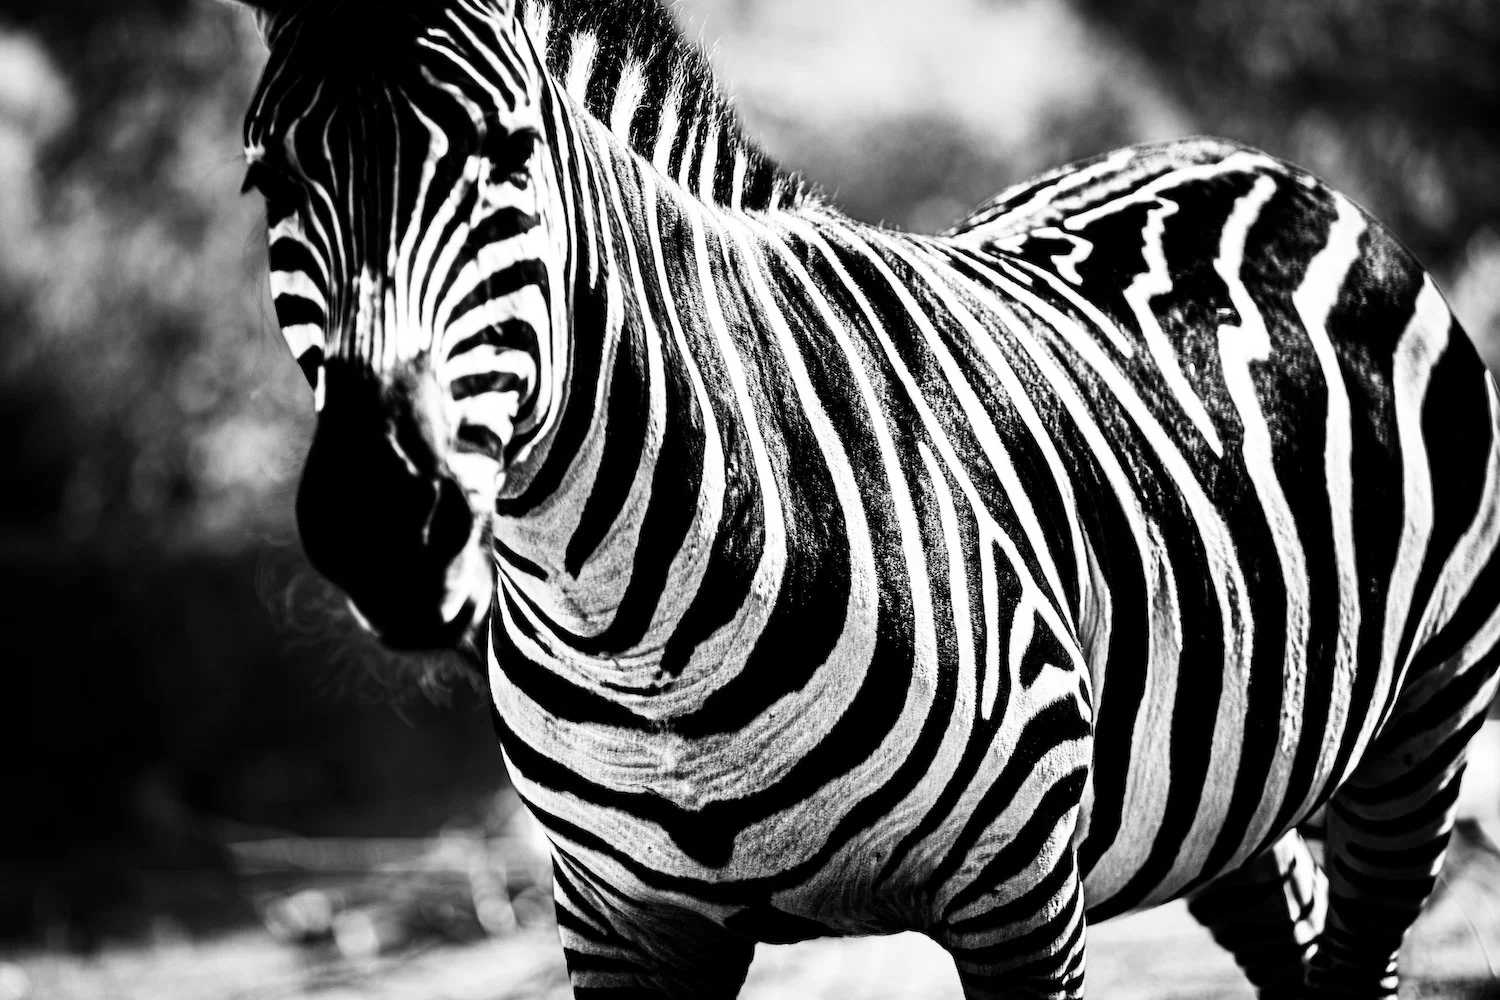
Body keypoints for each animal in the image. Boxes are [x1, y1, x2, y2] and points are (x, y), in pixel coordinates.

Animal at [228, 0, 1500, 996]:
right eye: (269, 178)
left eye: (512, 153)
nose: (379, 523)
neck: (632, 630)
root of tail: (1249, 161)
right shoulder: (621, 919)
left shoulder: (1021, 895)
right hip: (1225, 783)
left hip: (1424, 720)